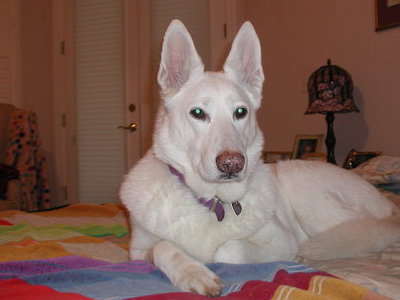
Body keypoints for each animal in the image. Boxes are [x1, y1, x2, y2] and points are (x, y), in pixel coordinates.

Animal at [119, 19, 400, 296]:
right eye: (197, 113)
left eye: (240, 112)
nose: (232, 163)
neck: (213, 201)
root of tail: (389, 208)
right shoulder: (137, 252)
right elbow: (163, 247)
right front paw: (194, 273)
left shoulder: (282, 239)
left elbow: (227, 250)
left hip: (313, 201)